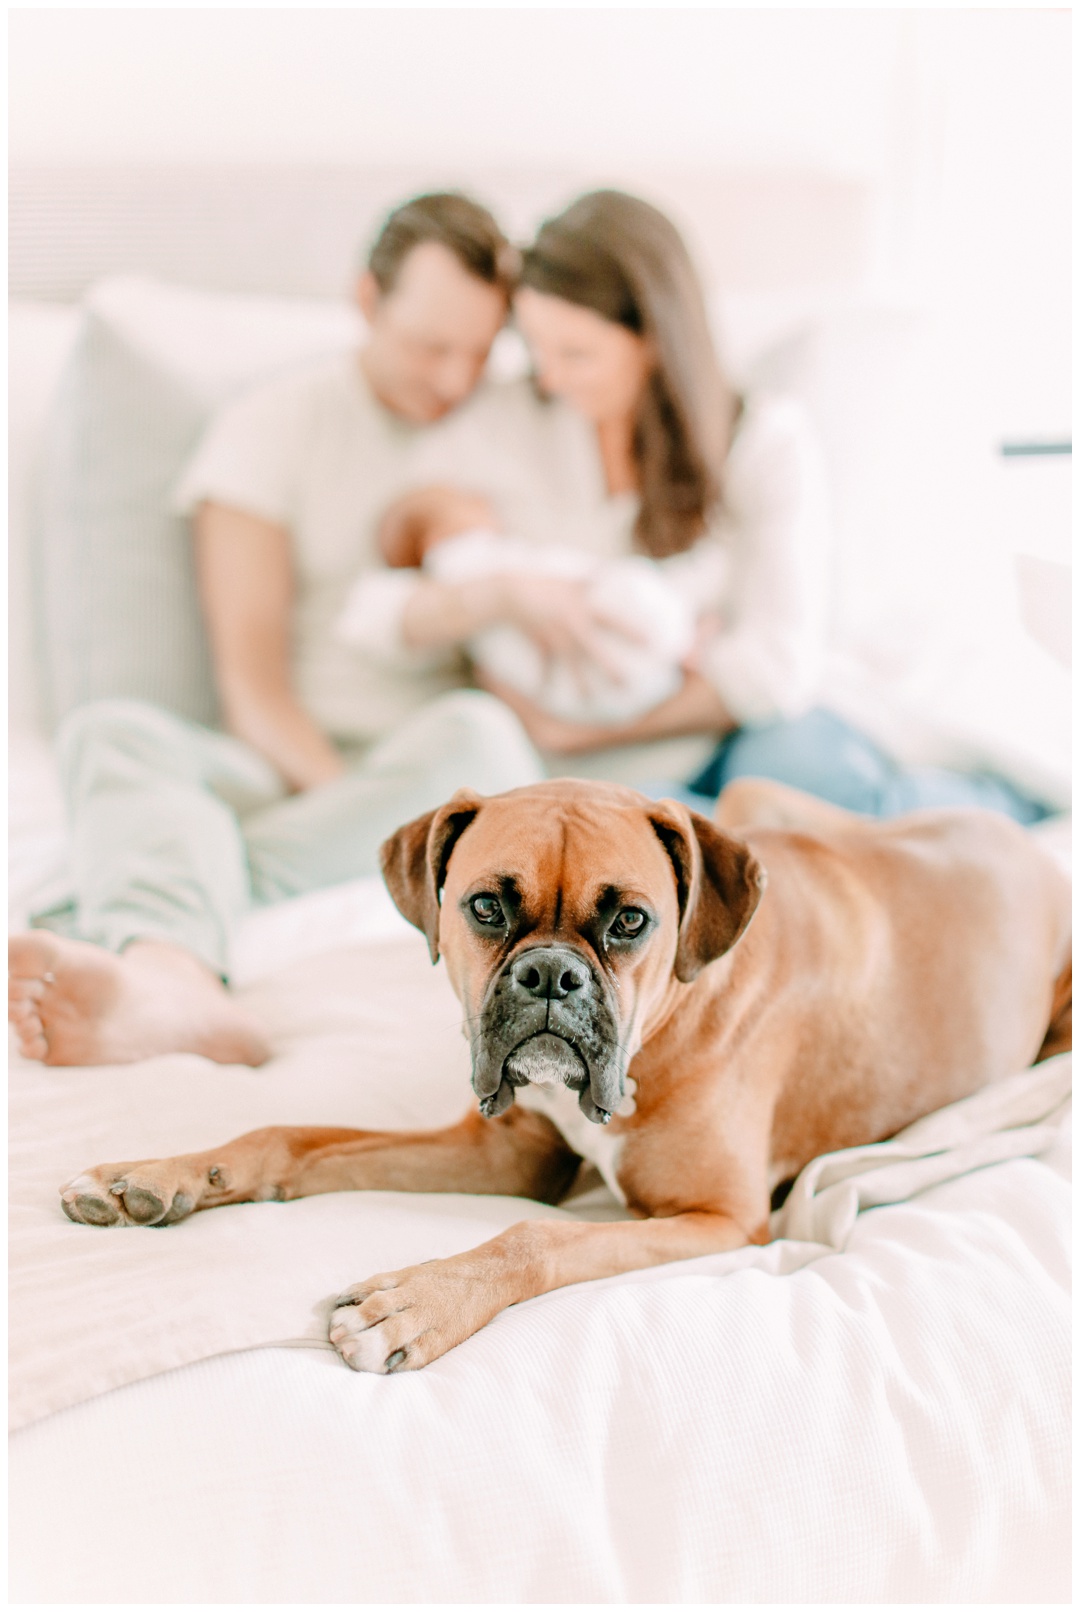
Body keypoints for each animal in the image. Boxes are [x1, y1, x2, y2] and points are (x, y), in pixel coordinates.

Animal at [63, 780, 1070, 1373]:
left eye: (629, 922)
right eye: (484, 908)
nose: (551, 974)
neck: (669, 1020)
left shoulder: (718, 1222)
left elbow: (533, 1237)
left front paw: (418, 1304)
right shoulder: (508, 1153)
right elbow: (291, 1136)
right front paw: (154, 1175)